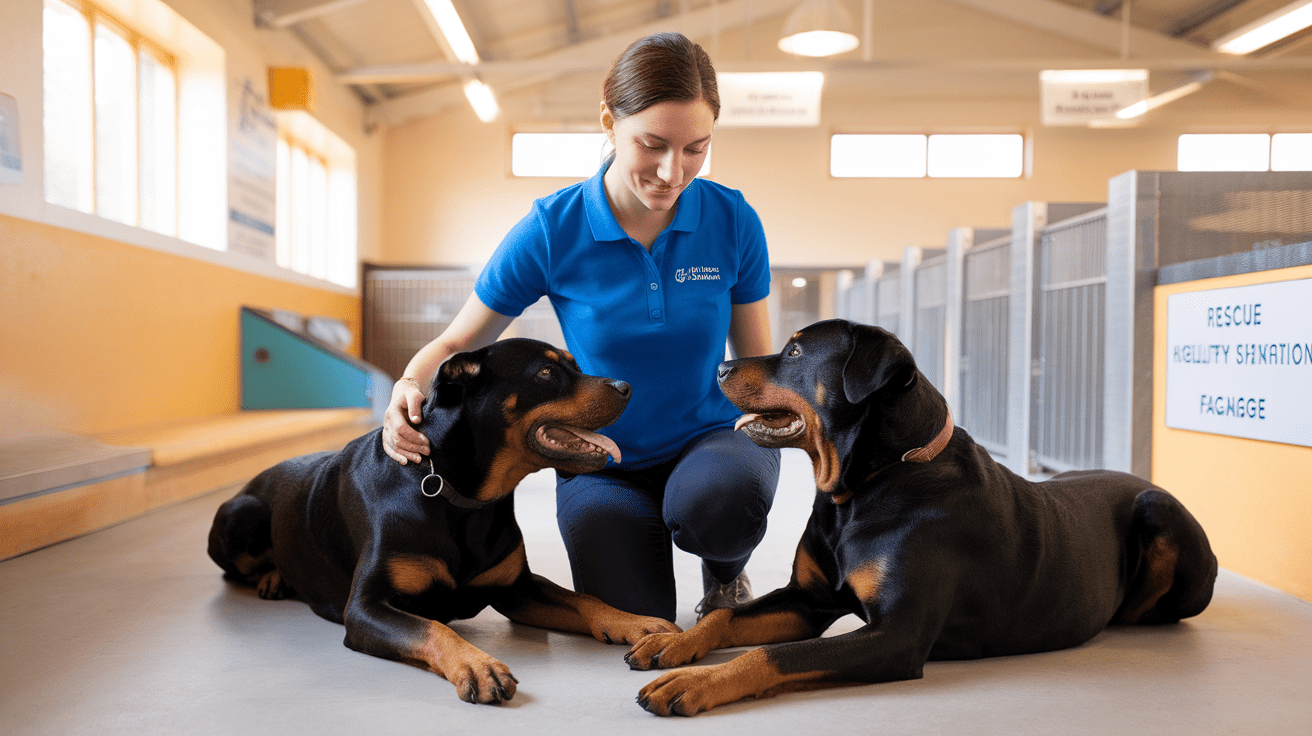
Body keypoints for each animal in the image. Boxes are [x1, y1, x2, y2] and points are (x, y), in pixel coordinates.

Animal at [207, 335, 676, 703]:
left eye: (574, 365)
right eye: (546, 372)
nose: (626, 386)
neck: (461, 495)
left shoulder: (517, 588)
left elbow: (582, 600)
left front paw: (635, 622)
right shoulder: (365, 608)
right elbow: (431, 628)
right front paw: (478, 666)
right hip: (243, 513)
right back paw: (273, 576)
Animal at [624, 318, 1217, 713]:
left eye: (794, 352)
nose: (722, 366)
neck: (864, 486)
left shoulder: (896, 636)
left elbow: (773, 656)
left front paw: (694, 682)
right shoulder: (809, 599)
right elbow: (726, 618)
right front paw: (672, 642)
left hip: (1160, 511)